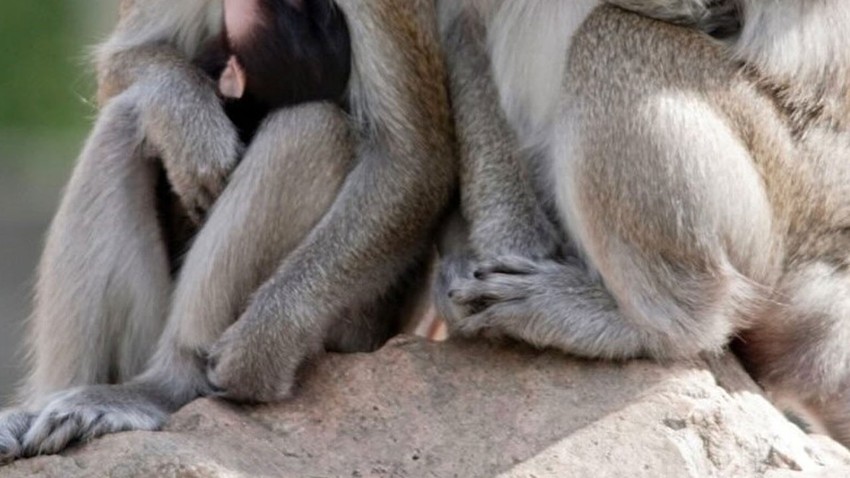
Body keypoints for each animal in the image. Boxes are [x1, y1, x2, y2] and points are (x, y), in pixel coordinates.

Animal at [0, 0, 454, 462]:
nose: (322, 14)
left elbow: (411, 162)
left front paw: (260, 350)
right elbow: (118, 68)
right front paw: (187, 116)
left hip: (354, 329)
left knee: (315, 129)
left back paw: (167, 385)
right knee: (124, 118)